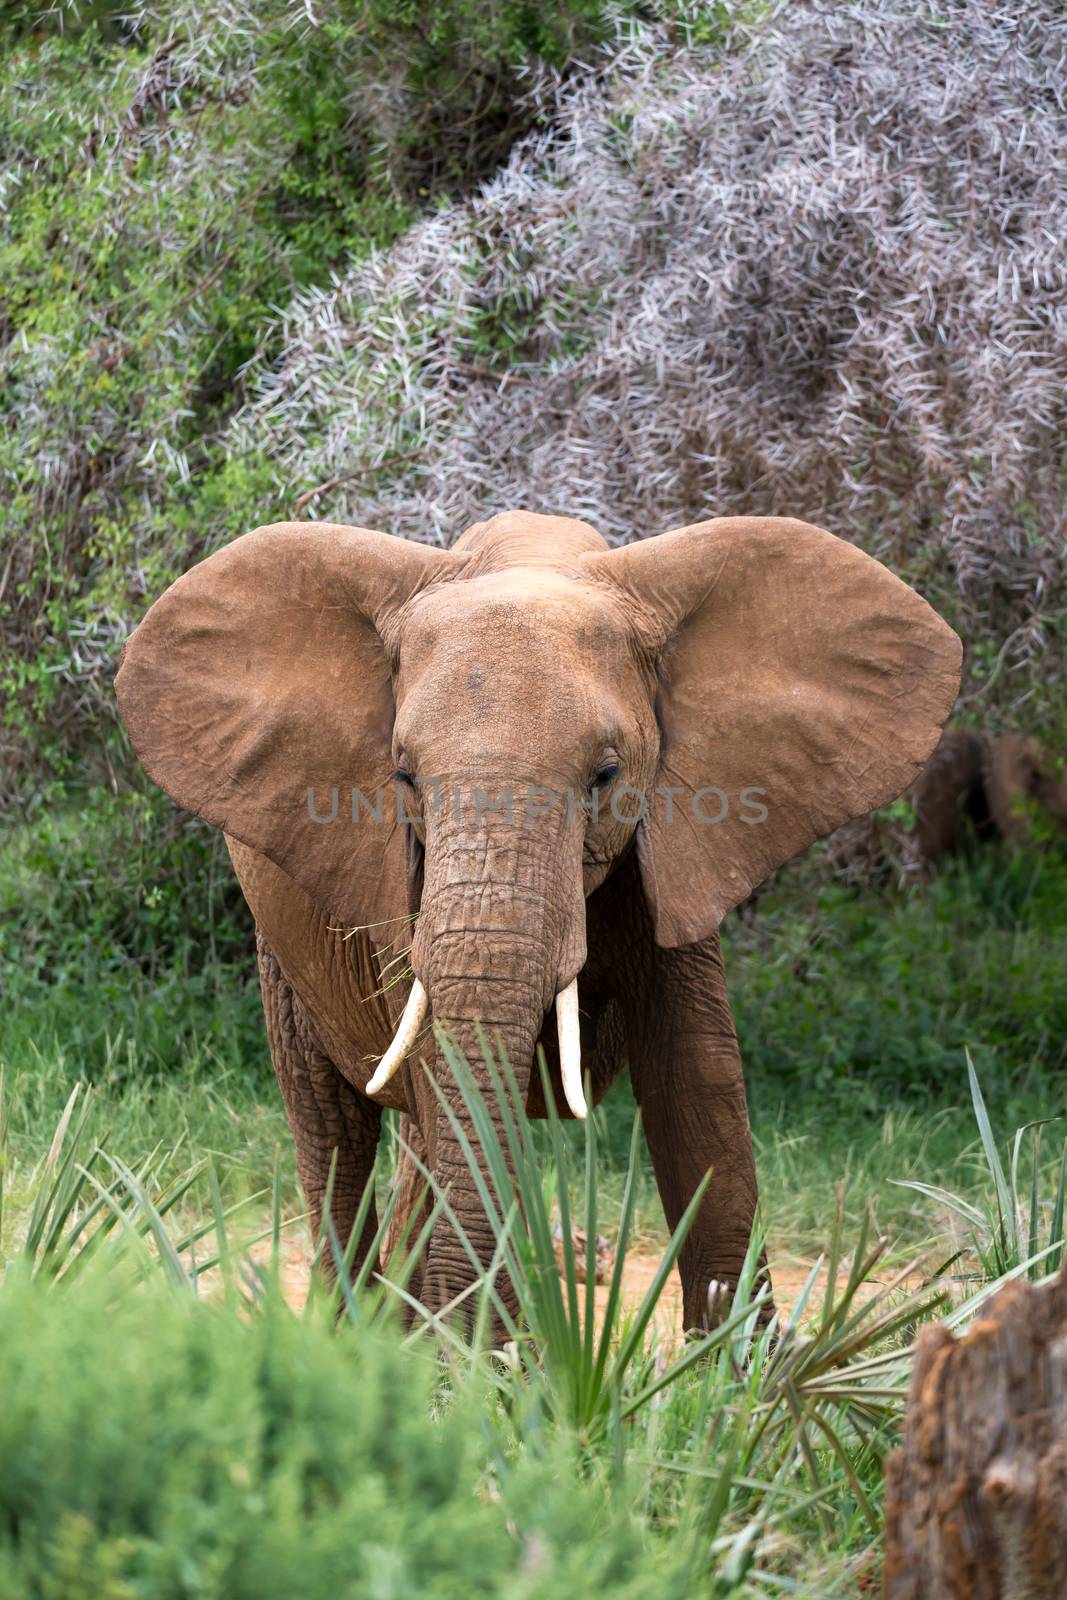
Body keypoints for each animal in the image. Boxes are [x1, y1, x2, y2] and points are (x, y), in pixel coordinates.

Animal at [112, 508, 966, 1324]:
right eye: (401, 776)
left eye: (607, 775)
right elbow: (449, 1084)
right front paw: (479, 1366)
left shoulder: (677, 850)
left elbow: (698, 1087)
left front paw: (736, 1371)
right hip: (281, 950)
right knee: (336, 1134)